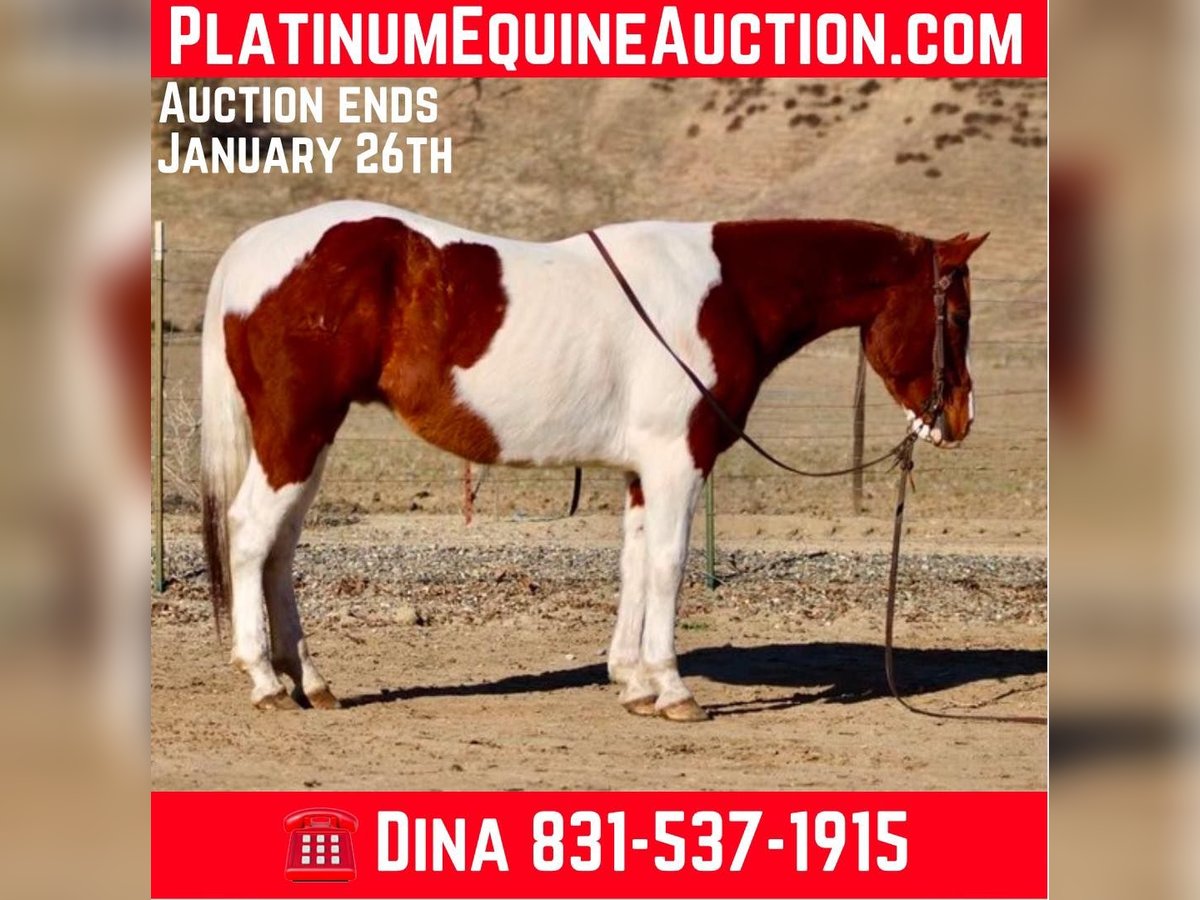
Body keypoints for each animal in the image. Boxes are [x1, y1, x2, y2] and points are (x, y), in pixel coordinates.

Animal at [201, 200, 985, 721]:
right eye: (955, 315)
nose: (957, 420)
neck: (725, 293)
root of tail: (249, 253)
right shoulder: (678, 461)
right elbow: (667, 564)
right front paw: (673, 690)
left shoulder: (642, 471)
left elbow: (635, 563)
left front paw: (633, 682)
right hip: (295, 434)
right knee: (251, 534)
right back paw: (265, 681)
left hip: (308, 440)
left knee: (280, 548)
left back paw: (309, 681)